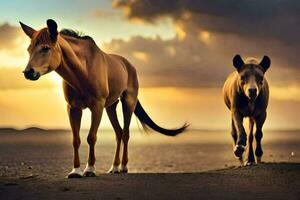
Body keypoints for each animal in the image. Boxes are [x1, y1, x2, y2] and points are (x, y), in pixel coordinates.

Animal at [19, 19, 188, 178]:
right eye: (28, 49)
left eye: (45, 48)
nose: (28, 72)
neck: (83, 70)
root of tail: (130, 66)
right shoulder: (73, 108)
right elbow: (76, 139)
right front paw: (75, 171)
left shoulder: (97, 106)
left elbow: (91, 137)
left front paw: (90, 169)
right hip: (110, 107)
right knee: (118, 133)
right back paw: (114, 167)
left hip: (128, 103)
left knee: (125, 133)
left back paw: (123, 167)